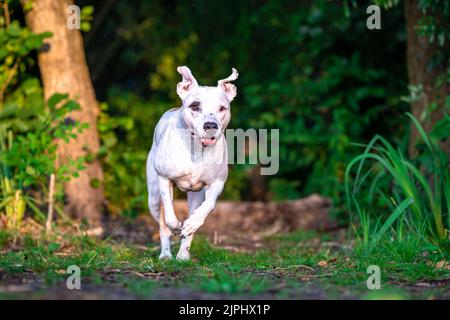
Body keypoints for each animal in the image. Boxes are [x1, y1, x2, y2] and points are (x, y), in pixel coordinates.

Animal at [148, 65, 239, 260]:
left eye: (222, 108)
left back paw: (183, 254)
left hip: (195, 197)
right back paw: (165, 254)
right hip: (153, 198)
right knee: (162, 223)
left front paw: (191, 224)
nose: (210, 125)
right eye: (195, 106)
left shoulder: (216, 183)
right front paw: (175, 226)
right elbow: (169, 216)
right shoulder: (164, 179)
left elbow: (209, 205)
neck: (196, 149)